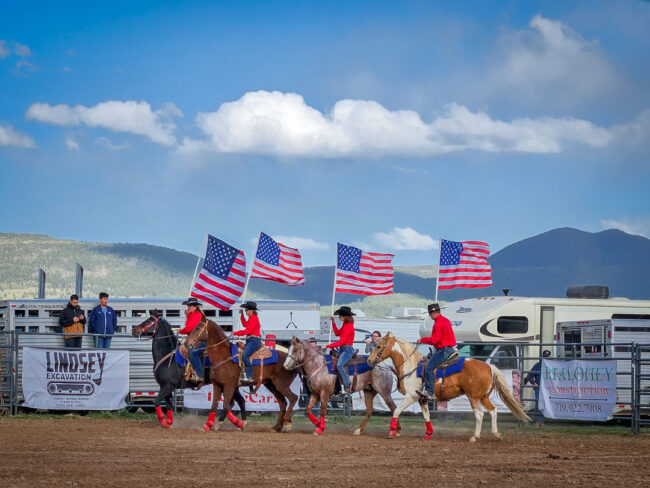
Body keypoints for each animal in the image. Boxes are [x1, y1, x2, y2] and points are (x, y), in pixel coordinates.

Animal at [368, 332, 528, 442]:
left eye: (379, 346)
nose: (369, 360)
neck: (411, 366)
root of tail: (489, 366)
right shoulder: (422, 399)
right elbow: (427, 416)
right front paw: (428, 434)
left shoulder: (410, 396)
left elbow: (396, 411)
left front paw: (392, 432)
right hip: (484, 397)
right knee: (493, 411)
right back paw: (496, 434)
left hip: (473, 397)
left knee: (479, 414)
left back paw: (474, 436)